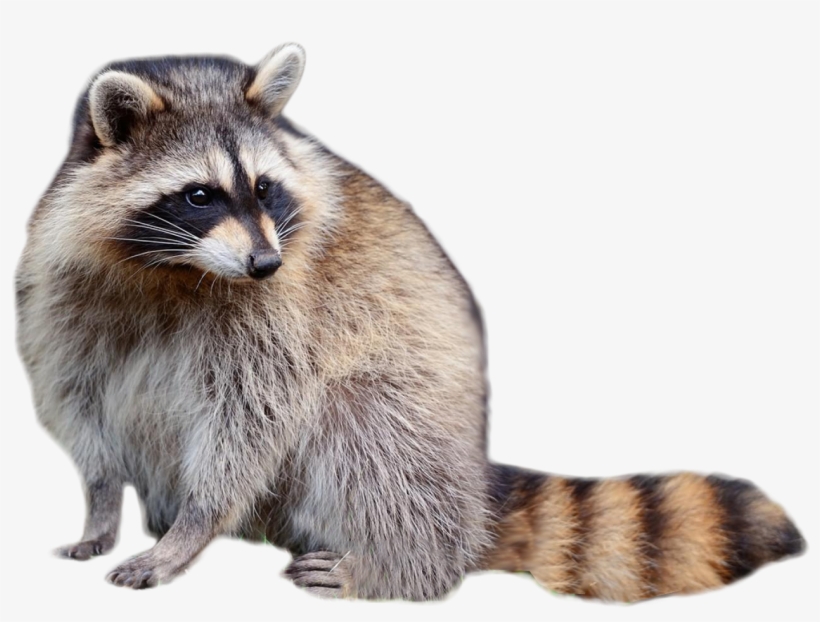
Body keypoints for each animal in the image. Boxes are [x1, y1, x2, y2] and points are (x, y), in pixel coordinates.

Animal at [16, 43, 805, 601]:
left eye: (265, 188)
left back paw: (395, 568)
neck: (177, 269)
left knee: (365, 429)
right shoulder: (62, 289)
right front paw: (100, 507)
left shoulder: (279, 312)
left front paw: (193, 527)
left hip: (420, 430)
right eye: (199, 194)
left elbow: (251, 419)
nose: (265, 262)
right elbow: (78, 401)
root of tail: (475, 493)